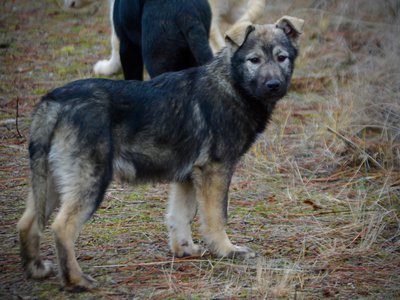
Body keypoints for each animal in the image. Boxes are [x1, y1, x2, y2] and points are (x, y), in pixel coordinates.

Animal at [16, 15, 304, 290]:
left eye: (282, 58)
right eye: (254, 60)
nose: (274, 84)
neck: (231, 84)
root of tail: (54, 101)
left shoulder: (187, 176)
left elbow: (180, 215)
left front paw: (184, 249)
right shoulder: (215, 171)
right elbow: (216, 217)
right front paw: (227, 250)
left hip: (52, 182)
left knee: (27, 222)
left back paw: (36, 269)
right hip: (90, 182)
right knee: (62, 227)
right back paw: (77, 281)